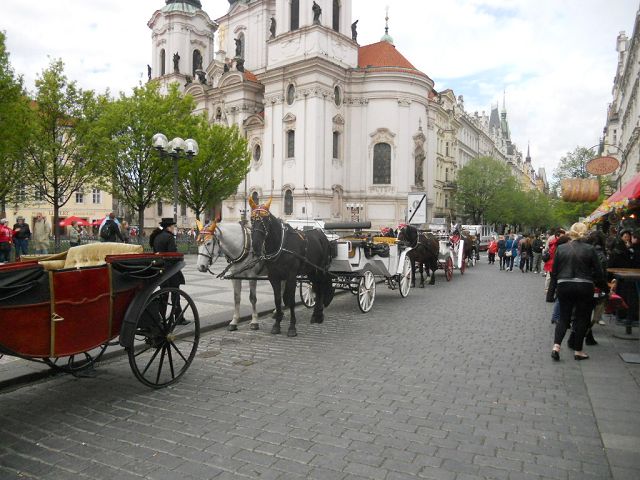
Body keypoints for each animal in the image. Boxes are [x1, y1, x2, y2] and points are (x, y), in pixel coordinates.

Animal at [249, 199, 332, 338]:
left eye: (265, 220)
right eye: (251, 219)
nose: (255, 245)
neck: (281, 245)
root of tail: (321, 234)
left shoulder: (291, 276)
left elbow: (291, 300)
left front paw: (292, 327)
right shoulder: (274, 277)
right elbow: (277, 300)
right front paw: (277, 325)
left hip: (320, 269)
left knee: (320, 289)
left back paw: (319, 315)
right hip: (311, 271)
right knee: (316, 288)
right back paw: (316, 315)